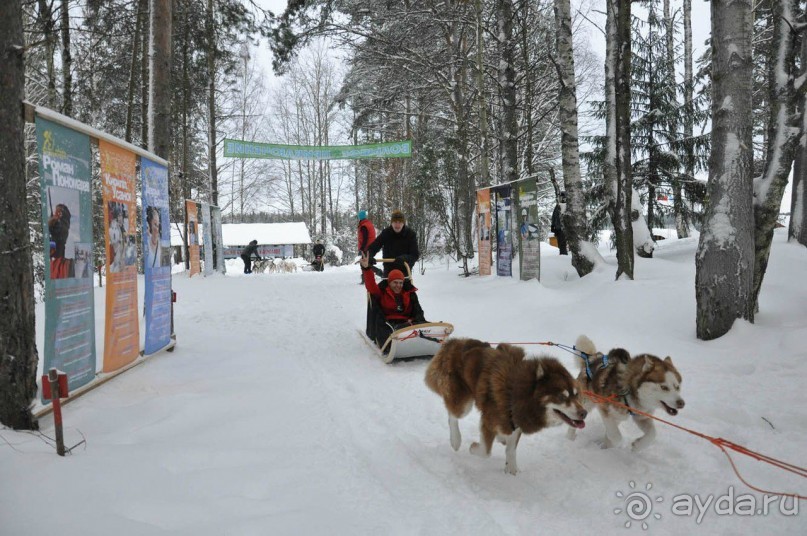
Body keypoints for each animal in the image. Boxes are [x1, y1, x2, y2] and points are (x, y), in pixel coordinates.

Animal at [422, 338, 588, 476]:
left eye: (576, 395)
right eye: (562, 397)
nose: (584, 413)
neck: (515, 393)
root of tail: (454, 341)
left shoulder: (516, 423)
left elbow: (511, 449)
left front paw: (512, 468)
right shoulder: (488, 421)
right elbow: (485, 451)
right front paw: (473, 448)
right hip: (464, 404)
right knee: (453, 416)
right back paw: (456, 440)